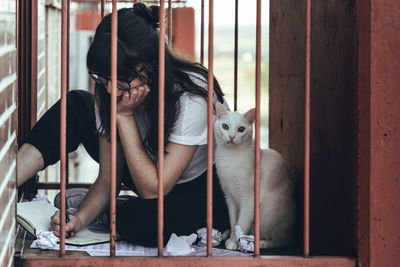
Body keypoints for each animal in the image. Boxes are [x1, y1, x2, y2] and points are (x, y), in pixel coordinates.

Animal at [214, 103, 296, 251]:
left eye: (241, 129)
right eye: (225, 126)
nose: (231, 137)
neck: (230, 158)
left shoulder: (249, 198)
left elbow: (241, 223)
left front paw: (234, 242)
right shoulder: (230, 198)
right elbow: (234, 222)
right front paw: (232, 238)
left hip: (271, 213)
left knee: (284, 240)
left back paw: (262, 243)